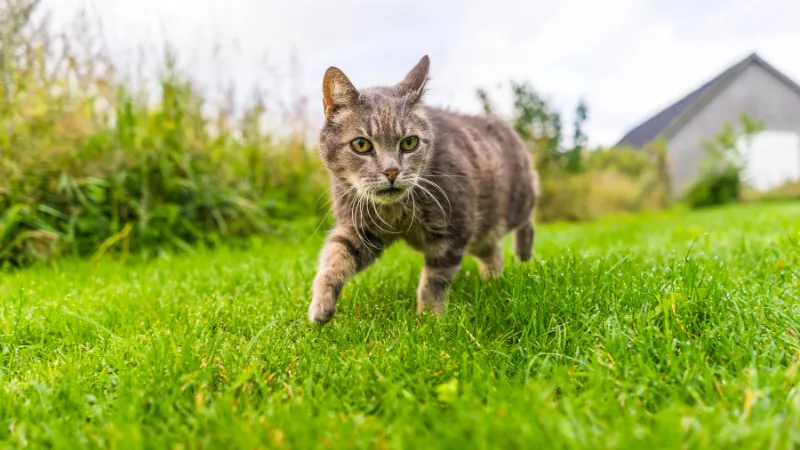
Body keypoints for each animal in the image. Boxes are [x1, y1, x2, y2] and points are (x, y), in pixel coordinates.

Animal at [310, 55, 540, 324]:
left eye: (410, 142)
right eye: (361, 144)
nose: (391, 171)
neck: (396, 211)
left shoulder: (454, 229)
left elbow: (434, 279)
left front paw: (429, 319)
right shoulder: (361, 230)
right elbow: (335, 255)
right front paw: (320, 306)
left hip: (516, 202)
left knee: (528, 220)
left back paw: (523, 257)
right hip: (481, 231)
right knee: (493, 250)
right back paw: (491, 281)